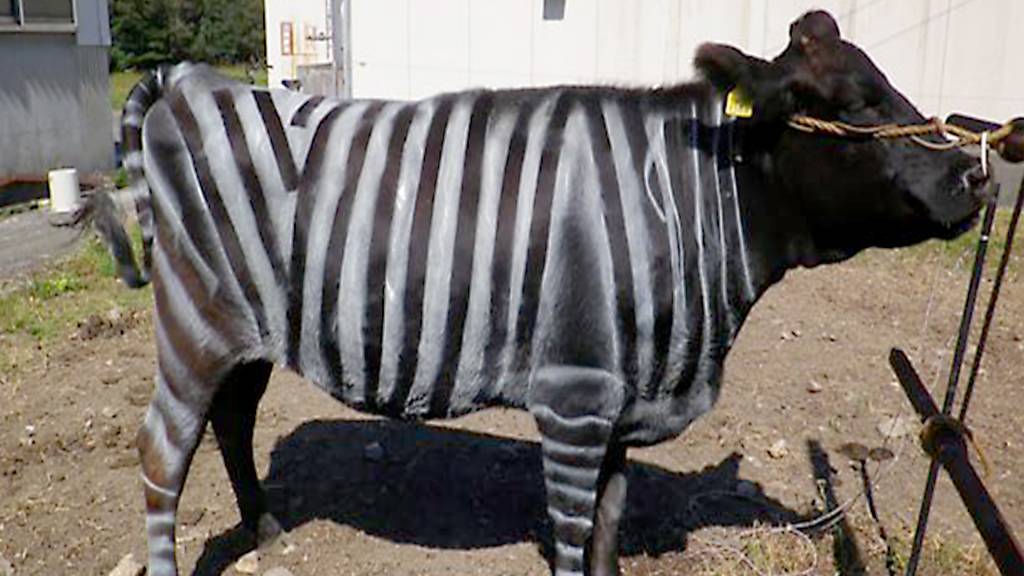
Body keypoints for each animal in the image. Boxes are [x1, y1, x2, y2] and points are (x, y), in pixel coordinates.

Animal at [86, 11, 986, 575]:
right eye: (848, 106)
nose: (975, 175)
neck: (681, 206)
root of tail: (194, 80)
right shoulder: (574, 398)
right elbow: (575, 530)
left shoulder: (624, 394)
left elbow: (610, 525)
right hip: (194, 321)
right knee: (163, 450)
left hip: (252, 328)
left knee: (232, 423)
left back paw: (268, 530)